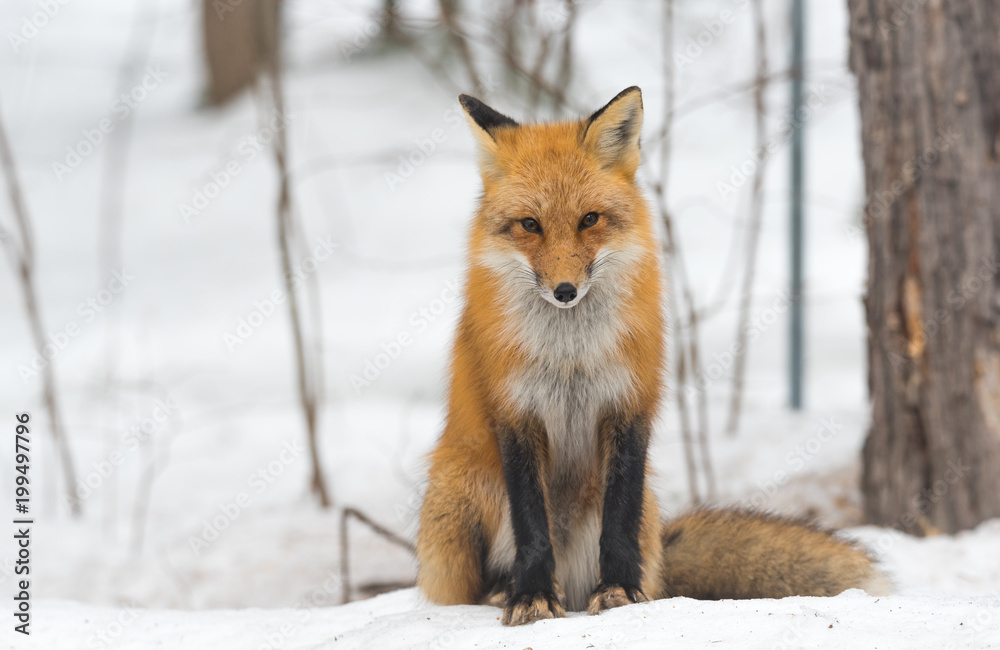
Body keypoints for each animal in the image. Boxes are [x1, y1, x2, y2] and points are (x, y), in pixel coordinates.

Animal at [416, 86, 889, 626]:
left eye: (589, 219)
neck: (571, 356)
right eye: (529, 225)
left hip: (635, 511)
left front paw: (621, 590)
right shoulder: (514, 415)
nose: (564, 291)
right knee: (469, 583)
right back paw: (501, 590)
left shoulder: (629, 404)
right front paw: (531, 596)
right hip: (462, 497)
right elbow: (530, 524)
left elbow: (619, 519)